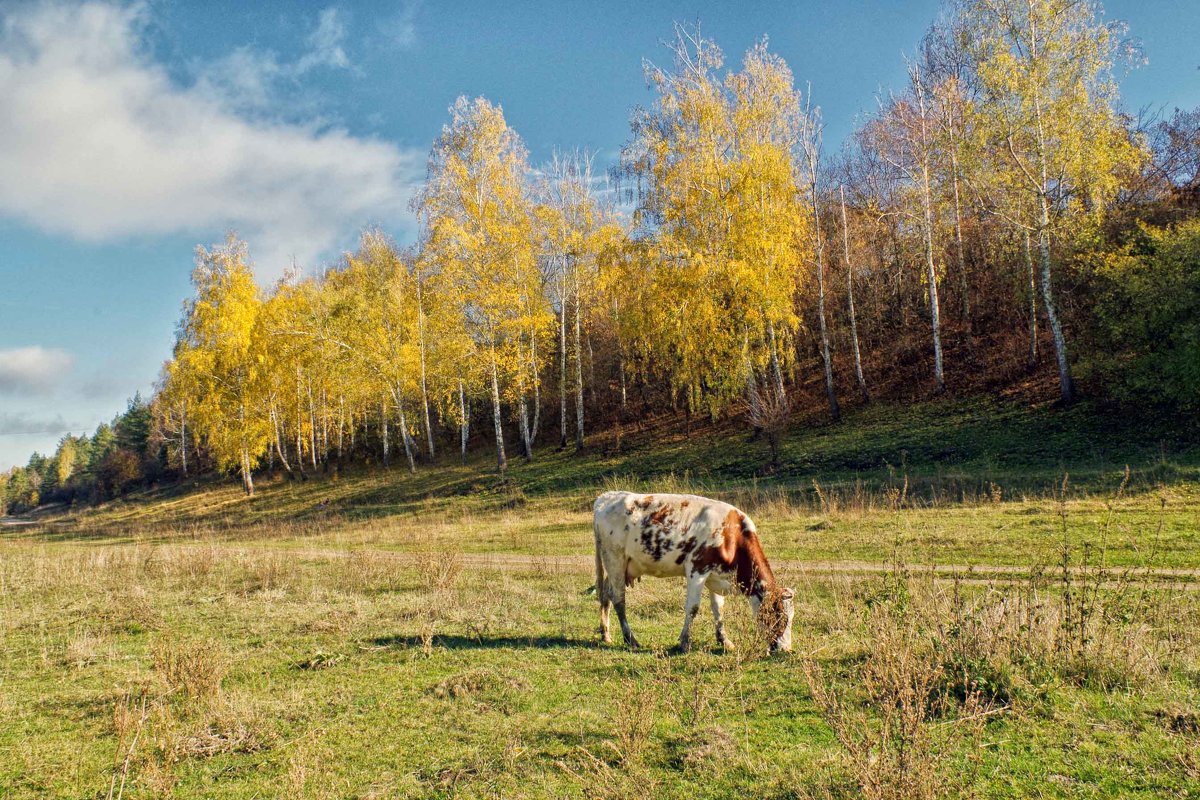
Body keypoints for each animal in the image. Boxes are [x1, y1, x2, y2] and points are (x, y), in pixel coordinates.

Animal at [592, 491, 796, 652]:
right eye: (780, 617)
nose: (786, 649)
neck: (731, 534)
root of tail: (605, 497)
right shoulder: (697, 570)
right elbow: (693, 607)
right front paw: (684, 642)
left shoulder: (715, 576)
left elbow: (718, 608)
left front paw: (724, 640)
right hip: (614, 559)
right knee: (619, 599)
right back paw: (630, 639)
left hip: (619, 565)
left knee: (606, 595)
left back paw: (606, 634)